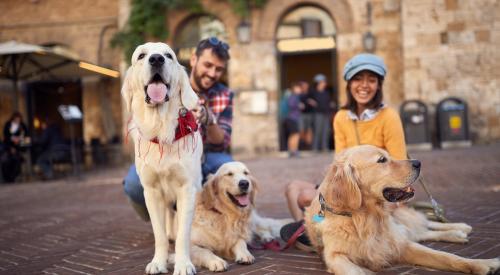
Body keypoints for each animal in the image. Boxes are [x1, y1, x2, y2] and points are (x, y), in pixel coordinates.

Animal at [121, 42, 201, 275]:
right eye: (141, 56)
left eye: (169, 55)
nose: (156, 59)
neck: (161, 127)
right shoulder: (152, 192)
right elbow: (160, 235)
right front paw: (158, 262)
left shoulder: (187, 189)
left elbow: (183, 235)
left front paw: (183, 264)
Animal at [302, 146, 498, 274]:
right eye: (382, 160)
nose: (418, 162)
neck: (364, 217)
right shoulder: (334, 256)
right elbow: (355, 271)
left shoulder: (399, 244)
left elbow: (446, 256)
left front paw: (483, 263)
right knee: (422, 232)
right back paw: (457, 234)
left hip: (400, 221)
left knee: (426, 225)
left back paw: (460, 228)